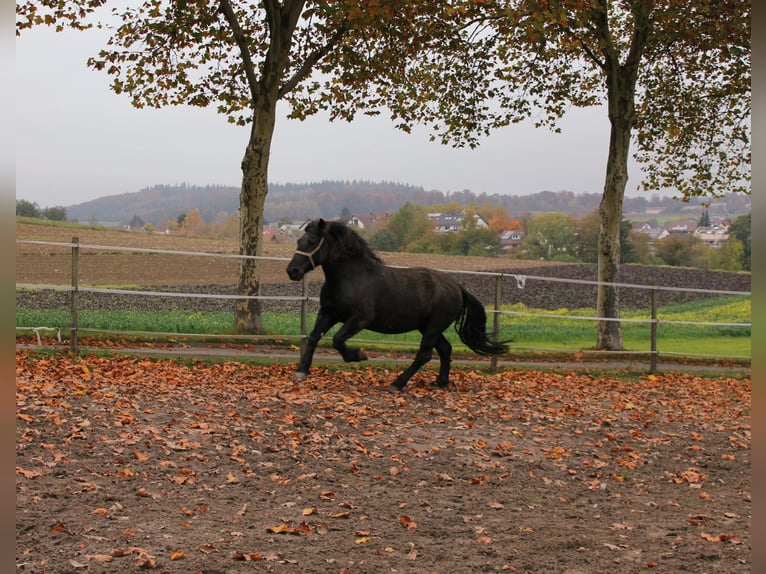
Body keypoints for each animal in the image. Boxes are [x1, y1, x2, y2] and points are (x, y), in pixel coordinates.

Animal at [286, 218, 510, 394]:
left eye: (312, 242)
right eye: (299, 241)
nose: (292, 271)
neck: (351, 278)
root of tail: (458, 287)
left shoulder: (359, 319)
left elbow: (338, 339)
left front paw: (359, 355)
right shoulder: (328, 313)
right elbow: (314, 337)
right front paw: (301, 371)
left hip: (433, 327)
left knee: (424, 354)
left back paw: (397, 384)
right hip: (428, 327)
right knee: (445, 349)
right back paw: (440, 382)